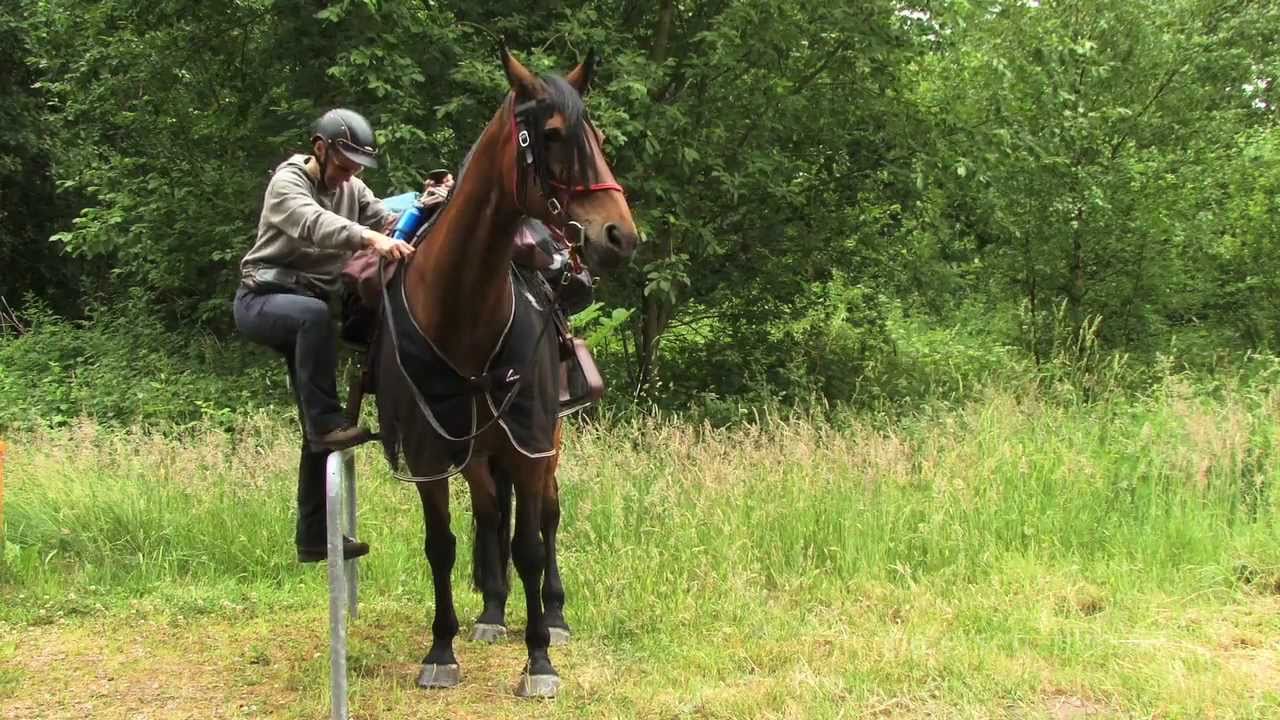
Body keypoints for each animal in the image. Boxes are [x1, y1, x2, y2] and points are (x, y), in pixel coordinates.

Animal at [373, 48, 638, 698]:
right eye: (553, 134)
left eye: (598, 137)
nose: (620, 236)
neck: (464, 312)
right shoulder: (430, 454)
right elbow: (442, 545)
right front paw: (441, 649)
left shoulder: (532, 441)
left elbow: (530, 546)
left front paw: (539, 659)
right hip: (479, 452)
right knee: (492, 512)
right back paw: (493, 612)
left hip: (544, 444)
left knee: (546, 518)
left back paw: (555, 615)